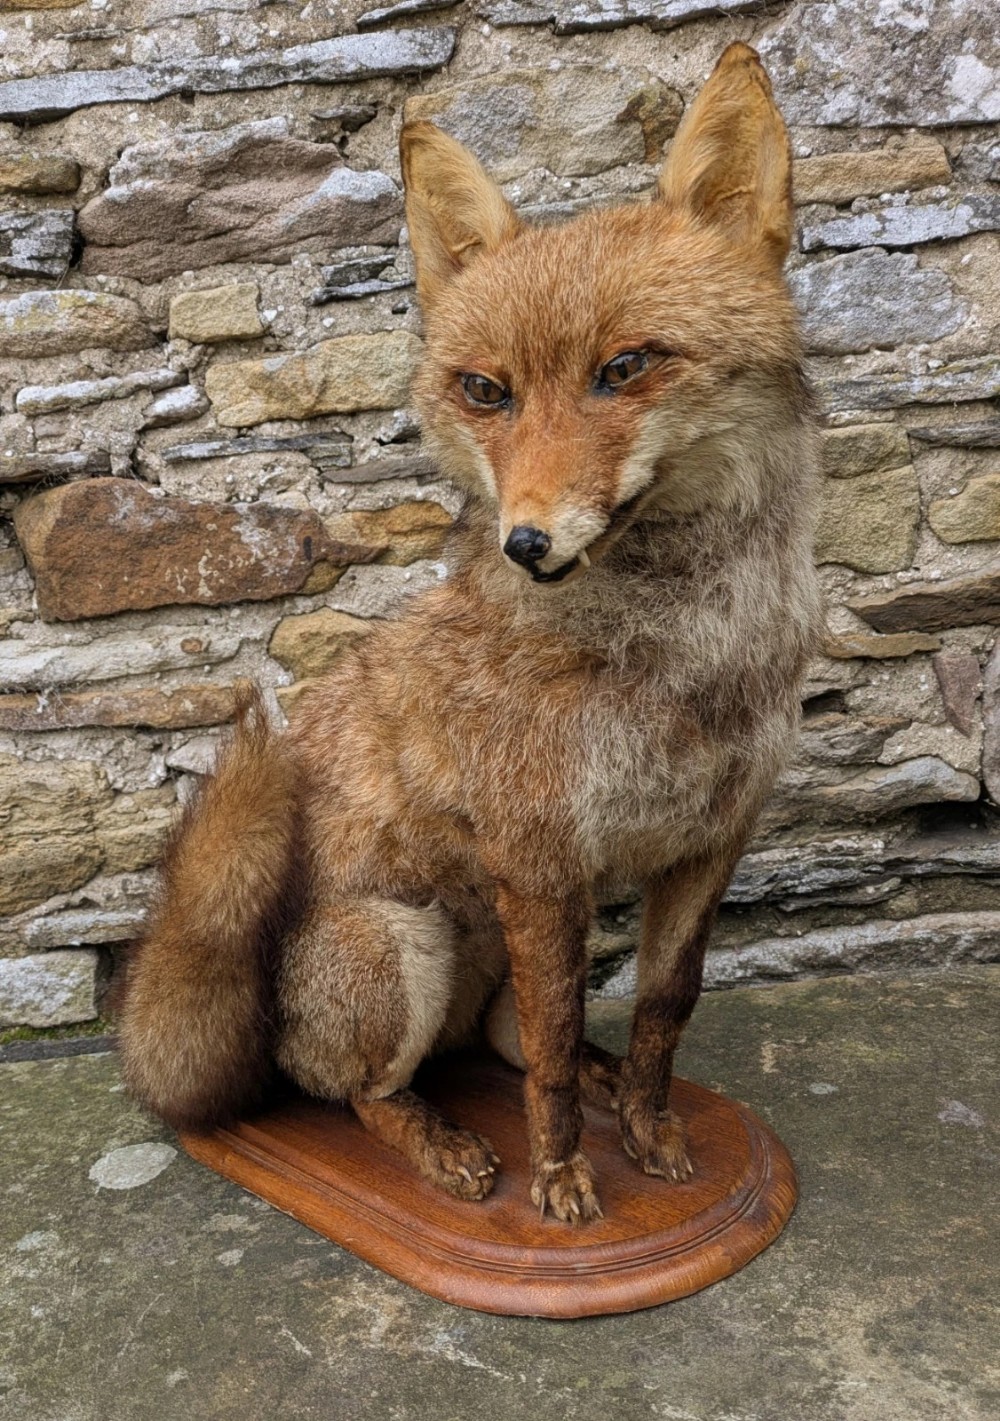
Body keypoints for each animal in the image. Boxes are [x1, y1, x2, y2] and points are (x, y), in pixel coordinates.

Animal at [117, 42, 821, 1225]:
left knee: (507, 1043)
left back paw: (590, 1083)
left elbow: (659, 1013)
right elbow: (548, 1055)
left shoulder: (709, 842)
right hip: (402, 946)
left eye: (624, 368)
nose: (524, 542)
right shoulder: (540, 862)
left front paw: (648, 1129)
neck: (685, 660)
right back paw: (440, 1146)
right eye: (487, 391)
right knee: (363, 1091)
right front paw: (562, 1181)